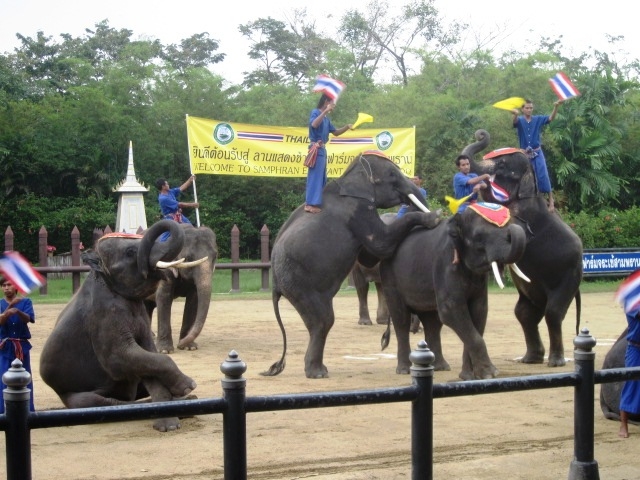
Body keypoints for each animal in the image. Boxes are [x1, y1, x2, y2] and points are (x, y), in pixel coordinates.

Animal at [40, 220, 200, 432]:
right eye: (130, 252)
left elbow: (147, 354)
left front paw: (173, 413)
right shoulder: (103, 314)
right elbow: (119, 358)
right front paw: (187, 389)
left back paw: (188, 401)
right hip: (73, 395)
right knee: (104, 403)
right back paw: (187, 400)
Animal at [145, 224, 218, 352]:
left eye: (215, 256)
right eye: (188, 258)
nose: (179, 344)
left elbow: (193, 300)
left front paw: (189, 347)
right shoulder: (165, 266)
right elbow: (164, 297)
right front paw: (165, 350)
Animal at [264, 150, 440, 378]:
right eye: (392, 175)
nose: (412, 195)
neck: (350, 176)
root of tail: (275, 285)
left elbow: (371, 255)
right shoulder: (359, 211)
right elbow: (382, 243)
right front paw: (435, 217)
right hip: (299, 284)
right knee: (323, 320)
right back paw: (318, 373)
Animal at [380, 202, 524, 378]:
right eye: (479, 236)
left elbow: (479, 311)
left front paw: (468, 376)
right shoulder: (445, 261)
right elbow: (450, 310)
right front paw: (490, 374)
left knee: (433, 321)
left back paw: (440, 367)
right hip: (389, 279)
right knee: (401, 319)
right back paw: (405, 370)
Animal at [460, 129, 584, 366]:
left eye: (502, 166)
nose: (480, 133)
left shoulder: (527, 213)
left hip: (570, 274)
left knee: (553, 312)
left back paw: (555, 361)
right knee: (524, 313)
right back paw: (530, 359)